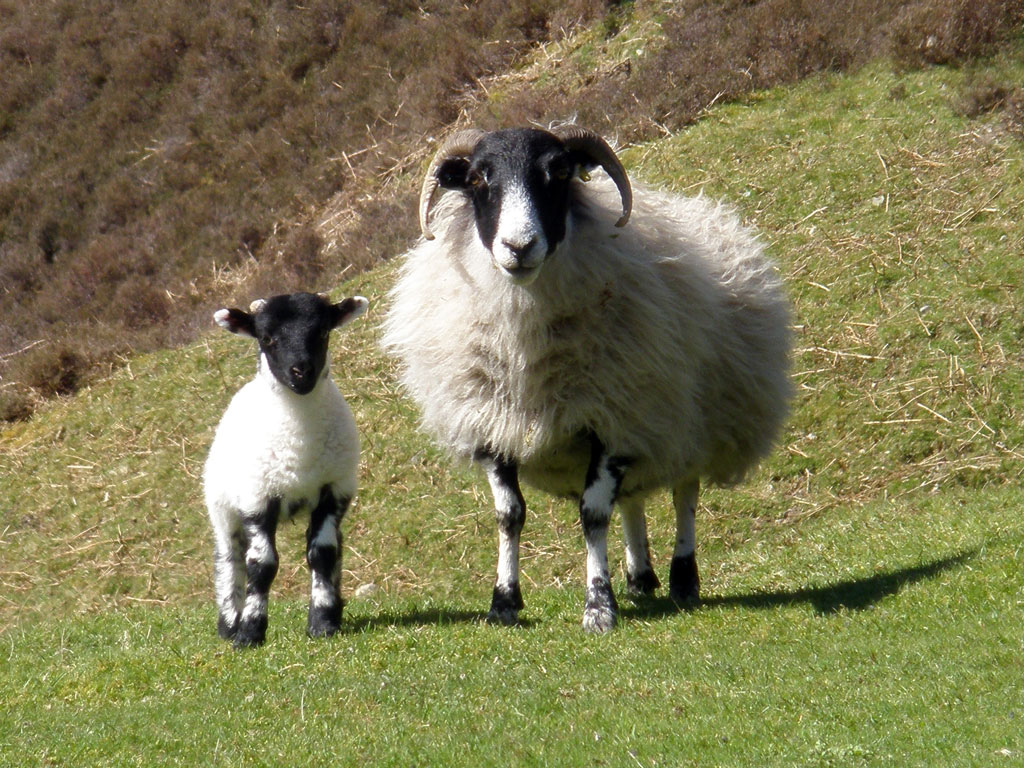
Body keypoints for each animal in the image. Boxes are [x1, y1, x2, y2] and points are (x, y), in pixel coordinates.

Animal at [203, 290, 368, 647]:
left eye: (323, 332)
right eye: (267, 338)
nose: (301, 371)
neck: (299, 443)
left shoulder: (334, 490)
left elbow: (323, 553)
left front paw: (323, 622)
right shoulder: (257, 498)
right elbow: (261, 565)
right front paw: (249, 631)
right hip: (222, 507)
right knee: (230, 555)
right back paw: (229, 621)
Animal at [385, 124, 790, 630]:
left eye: (558, 172)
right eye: (478, 178)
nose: (519, 248)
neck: (524, 343)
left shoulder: (615, 418)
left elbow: (593, 515)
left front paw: (599, 606)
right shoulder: (494, 425)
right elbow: (509, 515)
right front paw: (504, 602)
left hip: (687, 420)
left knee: (685, 493)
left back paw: (682, 579)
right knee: (633, 497)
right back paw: (640, 579)